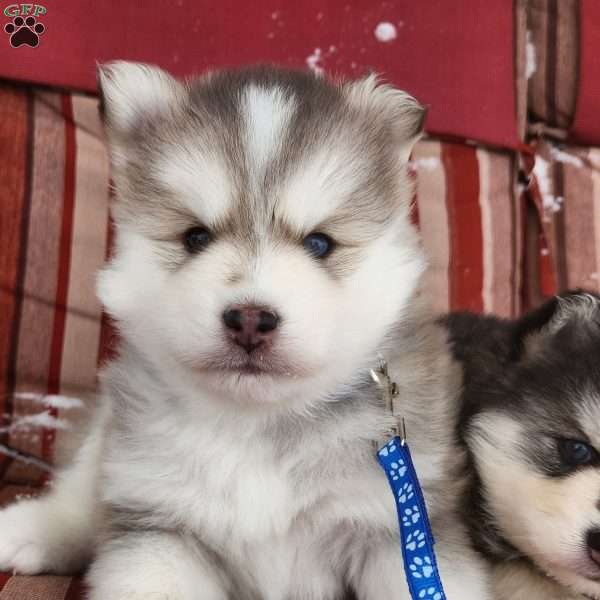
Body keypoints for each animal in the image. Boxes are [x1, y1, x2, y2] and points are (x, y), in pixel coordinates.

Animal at [0, 64, 490, 600]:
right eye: (195, 237)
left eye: (320, 243)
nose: (251, 318)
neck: (259, 425)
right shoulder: (160, 530)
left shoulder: (398, 528)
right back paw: (31, 529)